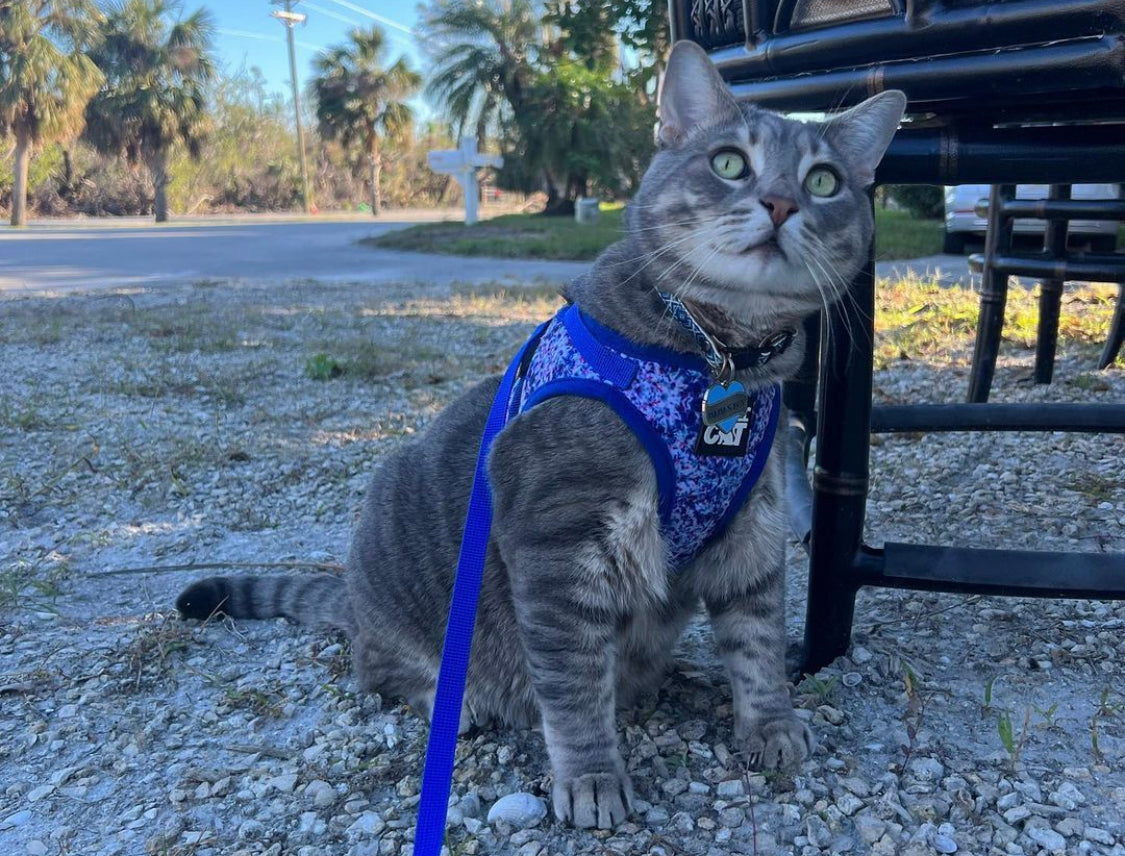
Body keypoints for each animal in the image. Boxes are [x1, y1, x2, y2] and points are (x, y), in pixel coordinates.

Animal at [175, 43, 904, 832]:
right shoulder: (558, 541)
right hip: (397, 559)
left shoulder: (753, 531)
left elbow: (759, 641)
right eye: (730, 163)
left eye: (824, 180)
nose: (780, 202)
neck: (713, 359)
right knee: (380, 669)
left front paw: (769, 725)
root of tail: (355, 600)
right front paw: (592, 777)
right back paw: (456, 699)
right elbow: (574, 682)